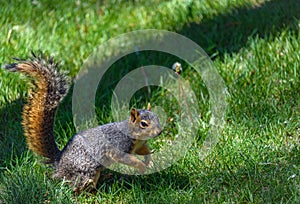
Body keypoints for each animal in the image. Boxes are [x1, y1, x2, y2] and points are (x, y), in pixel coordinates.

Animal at [2, 52, 162, 193]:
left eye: (157, 117)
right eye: (143, 124)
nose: (159, 132)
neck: (134, 134)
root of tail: (59, 162)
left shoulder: (139, 145)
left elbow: (144, 150)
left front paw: (150, 160)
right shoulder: (119, 146)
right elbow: (125, 158)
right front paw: (141, 167)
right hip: (86, 172)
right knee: (75, 187)